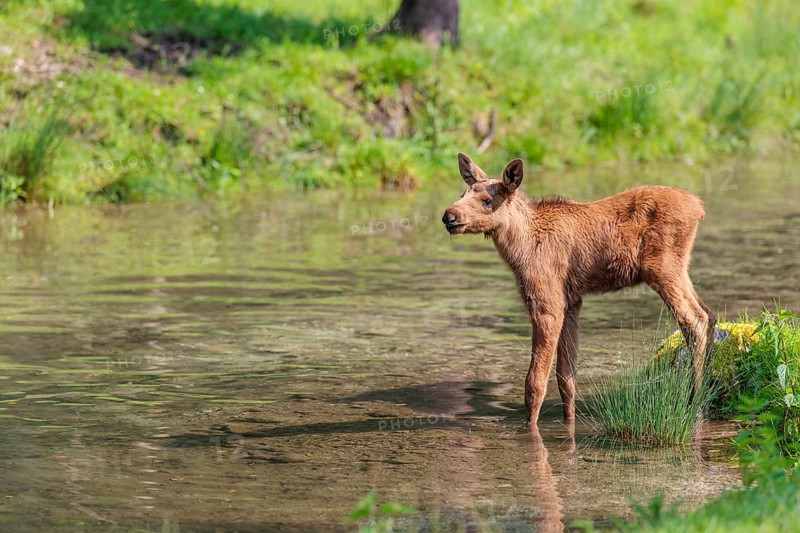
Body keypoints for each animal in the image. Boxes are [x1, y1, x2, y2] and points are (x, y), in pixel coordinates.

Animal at [442, 153, 715, 427]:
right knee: (709, 313)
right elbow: (567, 379)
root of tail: (700, 208)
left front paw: (530, 428)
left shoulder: (547, 303)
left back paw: (695, 400)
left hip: (662, 269)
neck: (520, 248)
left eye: (487, 201)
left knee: (694, 321)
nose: (448, 216)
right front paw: (569, 423)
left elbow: (535, 383)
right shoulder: (572, 302)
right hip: (679, 269)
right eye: (462, 193)